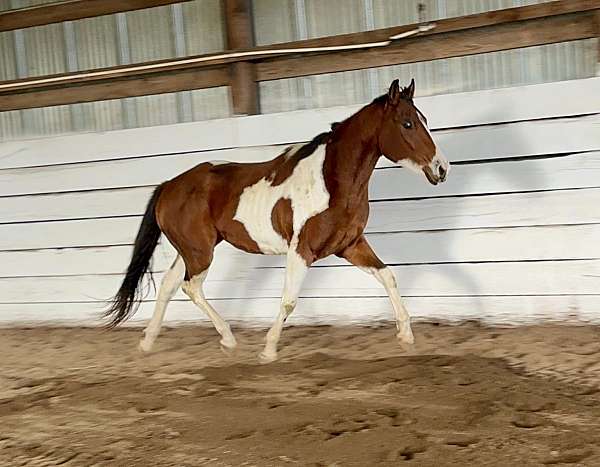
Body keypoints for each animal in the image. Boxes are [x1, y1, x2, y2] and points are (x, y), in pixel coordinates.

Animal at [104, 80, 450, 364]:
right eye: (407, 123)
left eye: (424, 121)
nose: (441, 168)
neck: (332, 179)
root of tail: (169, 185)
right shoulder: (301, 251)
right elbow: (288, 301)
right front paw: (268, 350)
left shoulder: (351, 245)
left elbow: (388, 276)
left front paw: (406, 336)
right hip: (200, 254)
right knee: (191, 287)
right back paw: (228, 340)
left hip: (191, 251)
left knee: (168, 284)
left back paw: (147, 343)